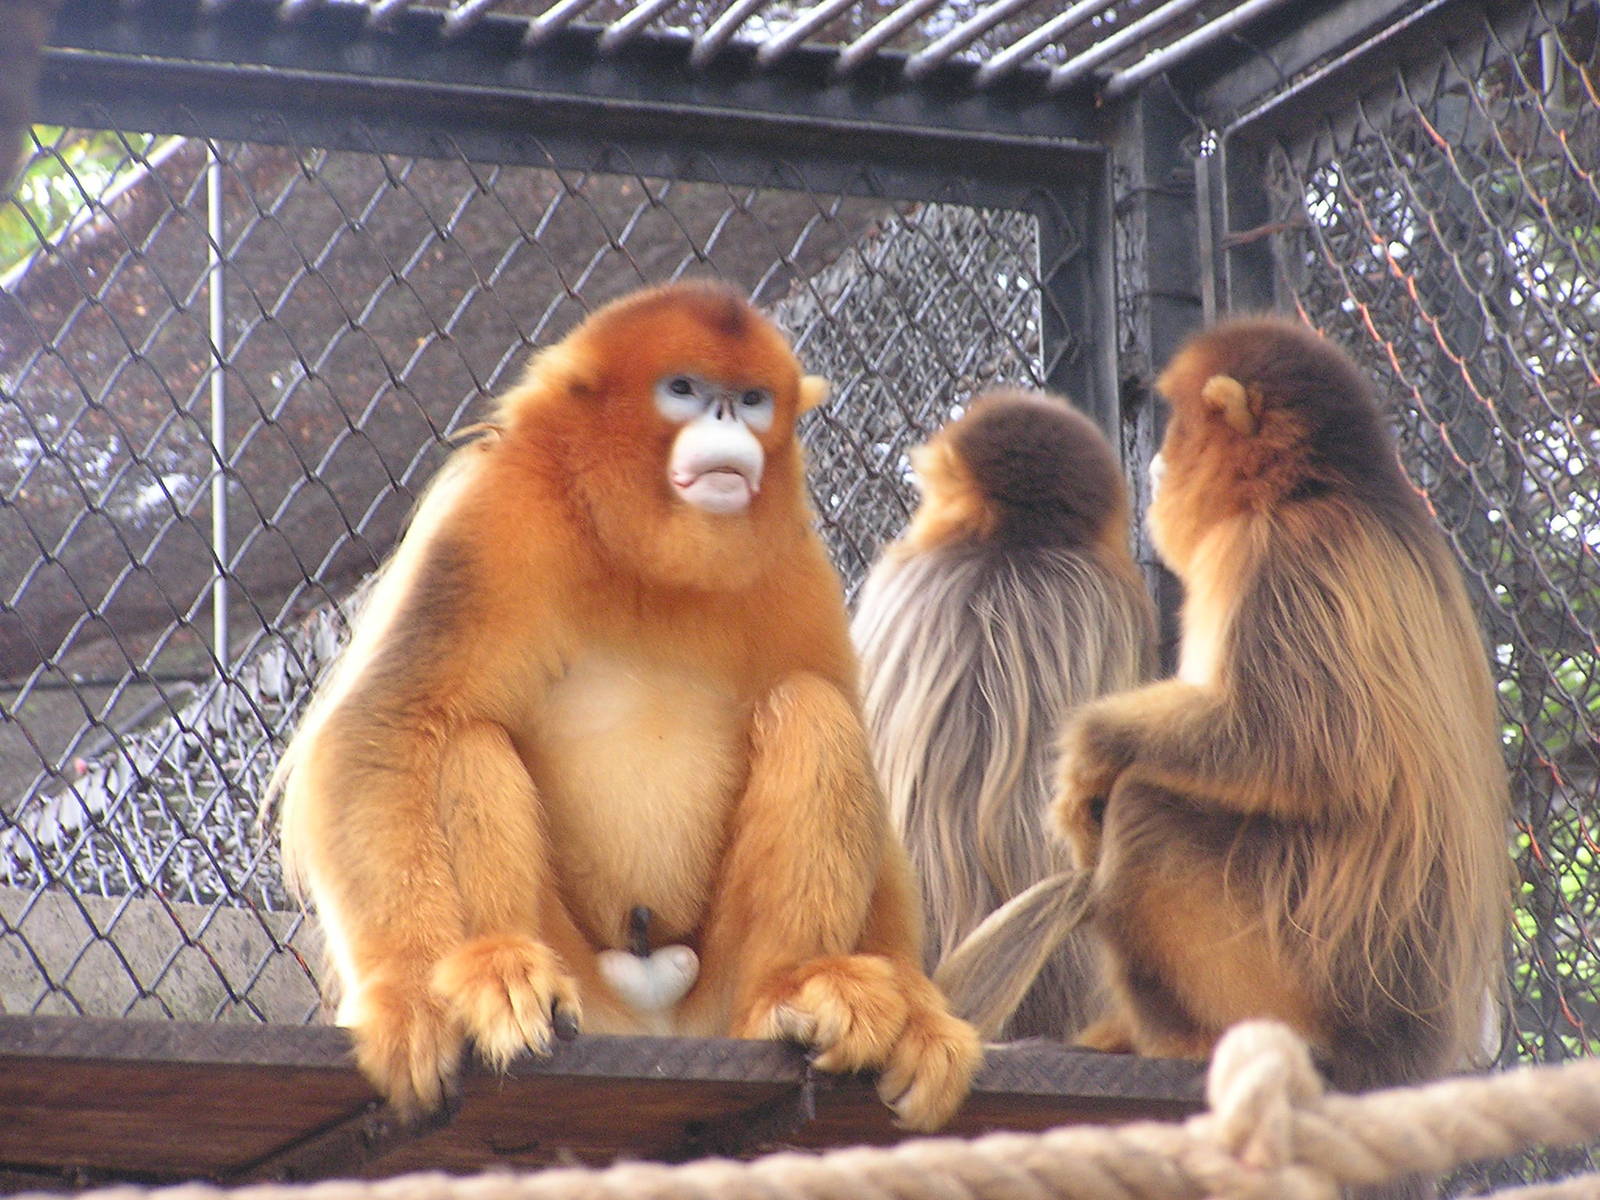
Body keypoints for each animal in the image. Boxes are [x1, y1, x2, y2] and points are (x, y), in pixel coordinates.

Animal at [273, 280, 980, 1130]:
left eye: (751, 399)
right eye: (683, 389)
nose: (726, 421)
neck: (641, 550)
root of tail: (655, 1015)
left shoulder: (793, 553)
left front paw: (923, 1016)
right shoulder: (493, 509)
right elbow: (387, 725)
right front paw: (409, 1000)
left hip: (717, 996)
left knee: (815, 708)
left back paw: (790, 995)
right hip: (588, 984)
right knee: (464, 737)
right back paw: (498, 976)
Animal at [1053, 316, 1510, 1099]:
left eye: (1177, 430)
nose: (1157, 467)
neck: (1307, 488)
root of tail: (1410, 1046)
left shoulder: (1279, 554)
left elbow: (1294, 746)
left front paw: (1091, 754)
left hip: (1306, 963)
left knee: (1147, 812)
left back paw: (1183, 1039)